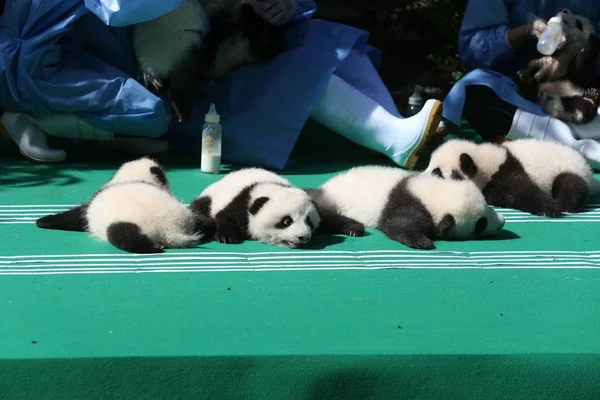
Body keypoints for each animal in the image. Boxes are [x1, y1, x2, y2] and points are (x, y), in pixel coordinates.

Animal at [35, 157, 213, 253]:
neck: (131, 177)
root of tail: (170, 231)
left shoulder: (93, 201)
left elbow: (76, 215)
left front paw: (43, 221)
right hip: (190, 216)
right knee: (204, 222)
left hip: (123, 224)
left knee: (124, 236)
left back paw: (151, 247)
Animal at [304, 164, 506, 248]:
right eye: (481, 224)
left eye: (488, 205)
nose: (503, 221)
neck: (432, 194)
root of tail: (325, 188)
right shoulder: (408, 204)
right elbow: (398, 225)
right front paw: (422, 241)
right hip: (333, 201)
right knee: (325, 215)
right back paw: (353, 227)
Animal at [424, 138, 600, 219]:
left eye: (437, 172)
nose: (421, 177)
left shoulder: (505, 173)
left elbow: (522, 190)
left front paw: (550, 208)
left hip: (569, 169)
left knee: (570, 185)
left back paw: (565, 203)